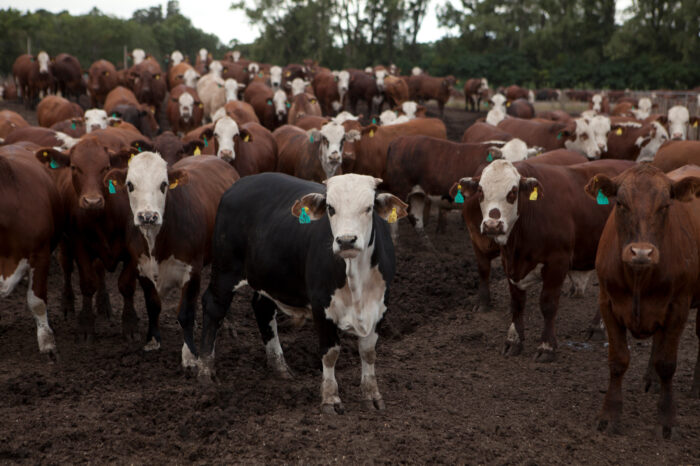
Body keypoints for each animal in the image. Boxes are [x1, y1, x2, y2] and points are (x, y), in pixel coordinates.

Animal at [105, 153, 238, 362]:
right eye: (130, 185)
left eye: (163, 184)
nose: (147, 216)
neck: (156, 242)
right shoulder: (141, 268)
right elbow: (153, 305)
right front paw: (152, 341)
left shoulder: (192, 271)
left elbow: (186, 313)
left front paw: (190, 354)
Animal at [197, 172, 408, 415]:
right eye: (331, 208)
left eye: (369, 208)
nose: (346, 240)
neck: (356, 280)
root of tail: (240, 184)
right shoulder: (321, 306)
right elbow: (330, 353)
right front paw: (330, 398)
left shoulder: (381, 305)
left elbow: (368, 351)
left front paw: (372, 395)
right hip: (225, 270)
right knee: (213, 307)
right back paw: (205, 371)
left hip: (269, 277)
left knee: (263, 309)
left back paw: (279, 366)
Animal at [452, 158, 635, 359]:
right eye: (480, 191)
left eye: (512, 192)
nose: (492, 225)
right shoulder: (509, 263)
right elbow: (517, 304)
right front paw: (513, 341)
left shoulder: (557, 262)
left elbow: (548, 304)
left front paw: (546, 346)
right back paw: (597, 327)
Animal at [587, 163, 700, 438]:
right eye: (620, 203)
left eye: (665, 205)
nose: (641, 252)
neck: (638, 277)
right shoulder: (607, 304)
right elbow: (618, 361)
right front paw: (609, 415)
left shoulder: (678, 307)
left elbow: (667, 364)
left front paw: (667, 419)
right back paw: (650, 380)